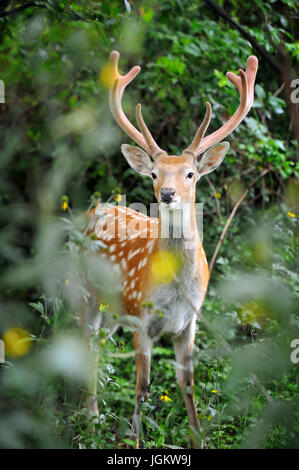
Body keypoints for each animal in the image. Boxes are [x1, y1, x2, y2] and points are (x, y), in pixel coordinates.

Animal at [81, 49, 258, 446]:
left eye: (190, 174)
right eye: (153, 173)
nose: (166, 193)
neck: (176, 289)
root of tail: (91, 210)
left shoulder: (189, 323)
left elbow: (187, 384)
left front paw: (198, 439)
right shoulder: (142, 319)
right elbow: (143, 388)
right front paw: (137, 440)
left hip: (112, 311)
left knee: (96, 348)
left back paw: (95, 419)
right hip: (82, 293)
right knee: (80, 345)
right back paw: (88, 421)